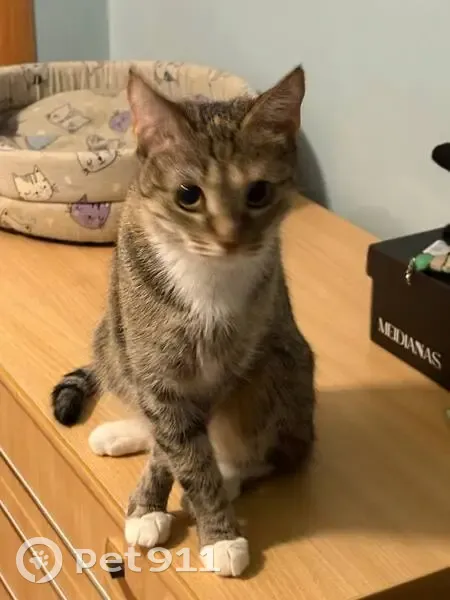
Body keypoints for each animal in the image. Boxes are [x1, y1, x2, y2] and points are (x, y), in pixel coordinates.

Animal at [51, 65, 315, 578]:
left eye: (259, 193)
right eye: (188, 195)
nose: (230, 239)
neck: (205, 275)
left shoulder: (224, 367)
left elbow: (187, 452)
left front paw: (218, 532)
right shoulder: (151, 362)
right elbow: (173, 442)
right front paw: (154, 507)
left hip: (279, 370)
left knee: (268, 453)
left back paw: (229, 475)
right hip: (110, 341)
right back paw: (121, 434)